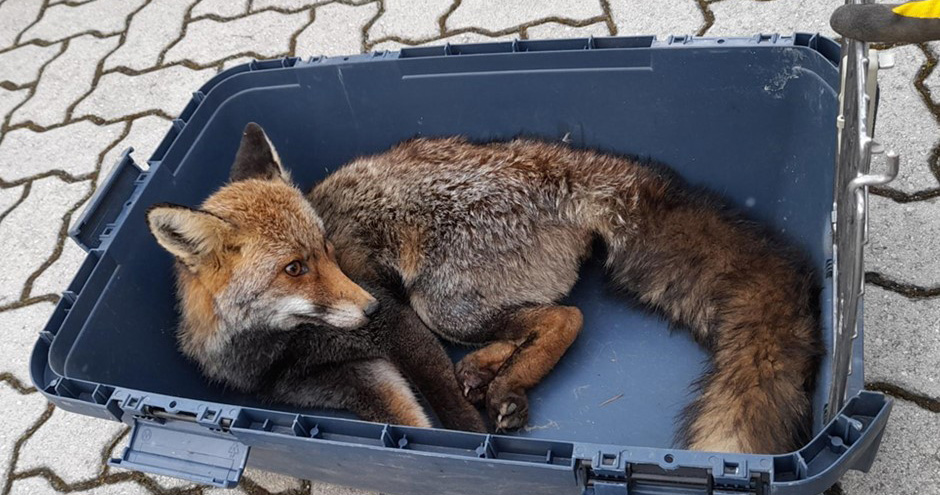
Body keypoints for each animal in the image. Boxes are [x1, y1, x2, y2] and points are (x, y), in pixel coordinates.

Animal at [145, 124, 486, 432]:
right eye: (294, 268)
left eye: (326, 245)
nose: (372, 308)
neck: (290, 350)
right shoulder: (348, 380)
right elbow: (408, 421)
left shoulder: (398, 324)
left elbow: (455, 412)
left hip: (440, 310)